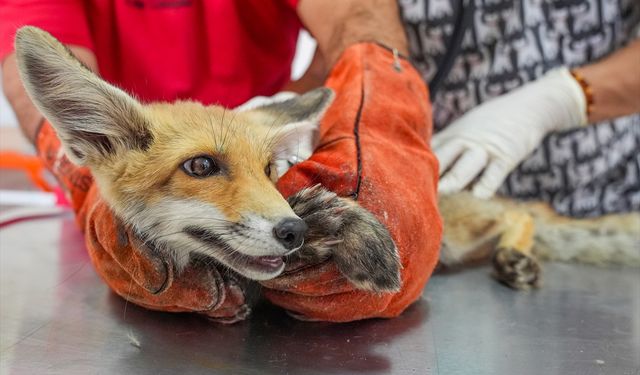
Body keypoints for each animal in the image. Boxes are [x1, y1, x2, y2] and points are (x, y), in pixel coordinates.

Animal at [15, 27, 640, 294]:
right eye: (200, 167)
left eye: (270, 170)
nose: (290, 231)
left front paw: (347, 233)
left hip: (458, 226)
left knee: (522, 210)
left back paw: (517, 254)